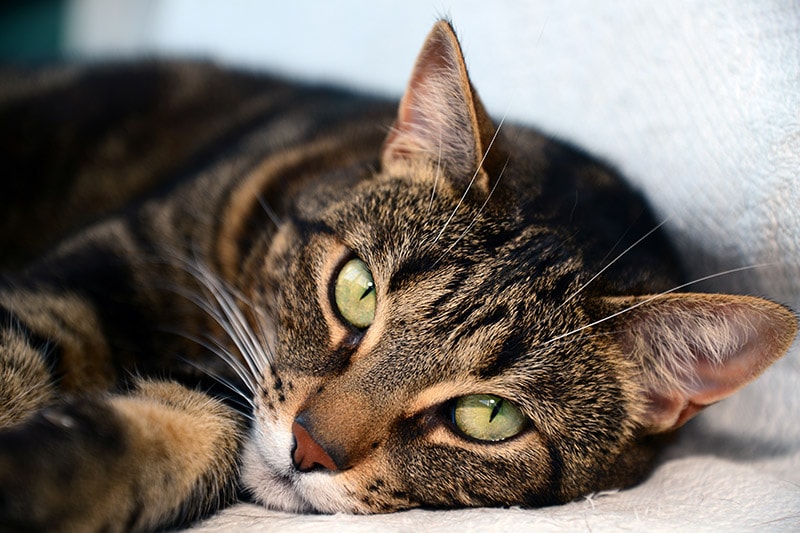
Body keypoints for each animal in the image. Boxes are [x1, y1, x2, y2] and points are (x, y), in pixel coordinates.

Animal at [0, 18, 792, 528]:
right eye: (357, 290)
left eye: (488, 416)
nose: (308, 448)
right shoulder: (129, 254)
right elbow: (22, 344)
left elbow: (187, 432)